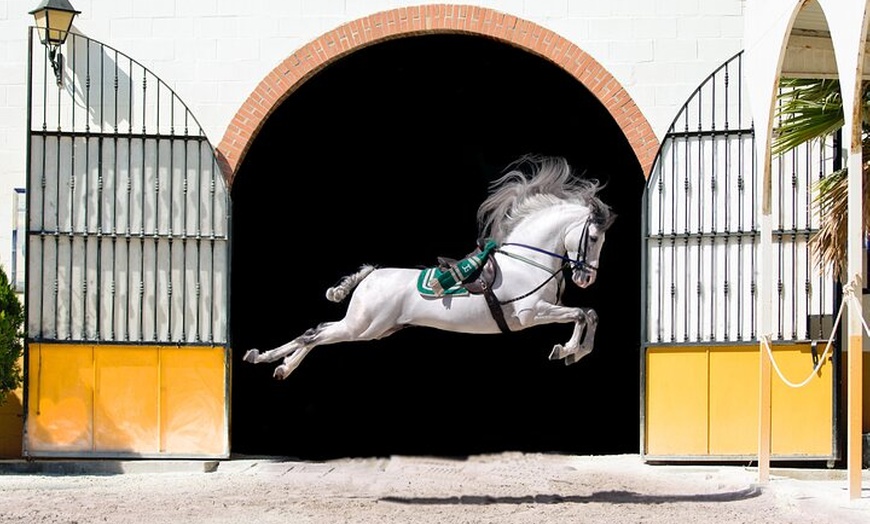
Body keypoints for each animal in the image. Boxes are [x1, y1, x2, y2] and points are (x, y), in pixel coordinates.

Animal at [242, 154, 616, 378]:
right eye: (594, 236)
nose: (586, 278)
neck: (529, 262)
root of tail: (372, 275)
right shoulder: (531, 313)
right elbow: (581, 314)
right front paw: (567, 349)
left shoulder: (544, 310)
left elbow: (590, 313)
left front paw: (575, 352)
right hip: (363, 327)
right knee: (315, 334)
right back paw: (274, 362)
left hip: (371, 327)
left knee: (313, 332)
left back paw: (269, 361)